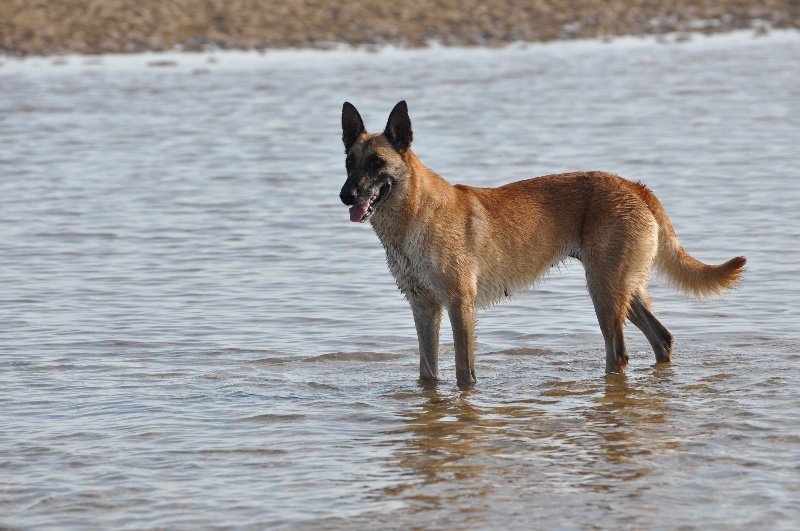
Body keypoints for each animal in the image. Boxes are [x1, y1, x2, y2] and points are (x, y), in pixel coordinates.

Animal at [336, 100, 744, 386]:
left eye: (376, 163)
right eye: (349, 162)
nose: (344, 195)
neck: (414, 218)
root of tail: (634, 186)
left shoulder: (458, 306)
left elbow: (464, 374)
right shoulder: (424, 309)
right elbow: (428, 375)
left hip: (604, 291)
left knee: (619, 355)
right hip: (624, 291)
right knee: (662, 339)